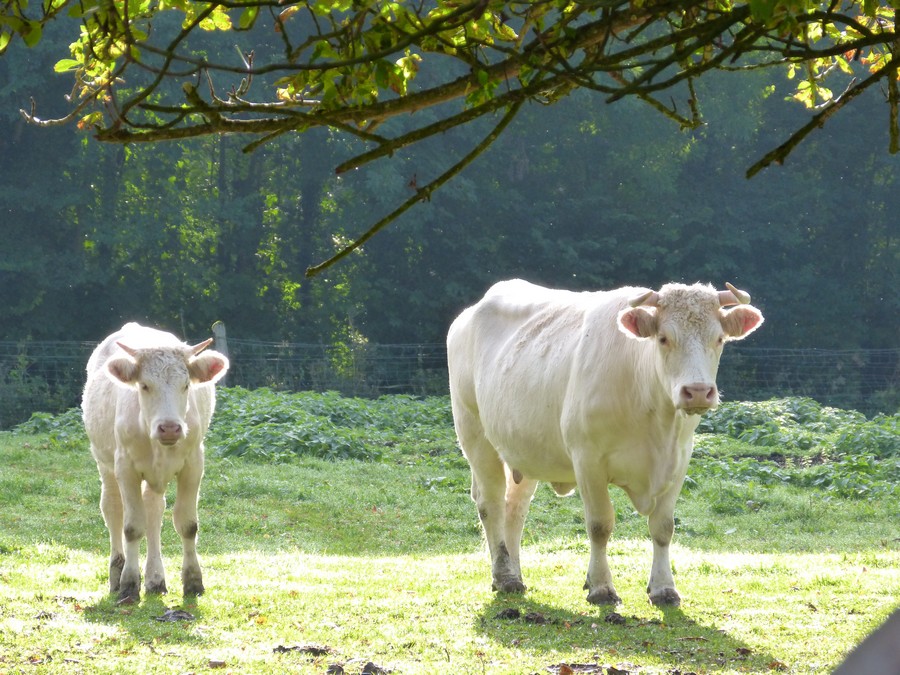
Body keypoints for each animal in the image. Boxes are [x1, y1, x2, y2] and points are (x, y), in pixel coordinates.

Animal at [81, 324, 229, 604]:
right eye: (144, 386)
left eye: (186, 385)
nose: (169, 427)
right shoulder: (125, 467)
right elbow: (131, 528)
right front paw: (129, 584)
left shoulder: (194, 464)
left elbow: (187, 525)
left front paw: (193, 581)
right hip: (105, 463)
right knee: (113, 510)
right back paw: (117, 575)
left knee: (154, 511)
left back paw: (155, 579)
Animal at [446, 280, 764, 608]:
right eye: (664, 338)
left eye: (719, 338)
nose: (698, 391)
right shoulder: (588, 459)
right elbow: (600, 525)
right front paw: (600, 586)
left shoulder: (679, 459)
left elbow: (663, 527)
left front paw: (664, 588)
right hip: (475, 434)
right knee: (491, 504)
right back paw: (504, 576)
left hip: (524, 449)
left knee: (515, 508)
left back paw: (514, 573)